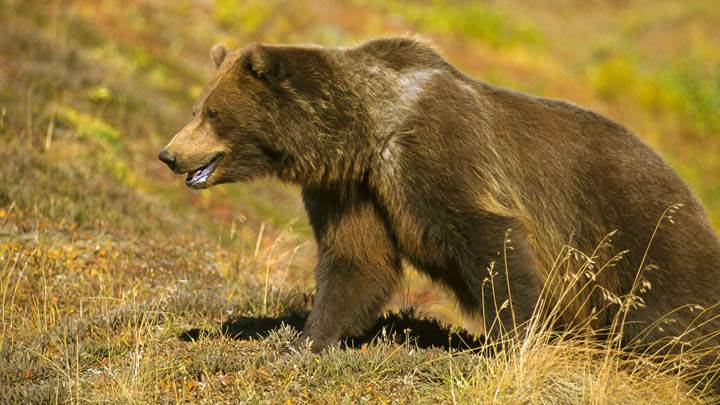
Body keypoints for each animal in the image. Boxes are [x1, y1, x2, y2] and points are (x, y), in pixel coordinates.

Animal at [158, 37, 720, 381]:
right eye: (198, 107)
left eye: (212, 112)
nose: (169, 154)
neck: (365, 129)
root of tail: (689, 190)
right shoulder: (354, 189)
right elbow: (356, 263)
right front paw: (305, 342)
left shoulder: (434, 152)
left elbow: (490, 242)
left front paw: (517, 343)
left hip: (640, 235)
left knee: (668, 320)